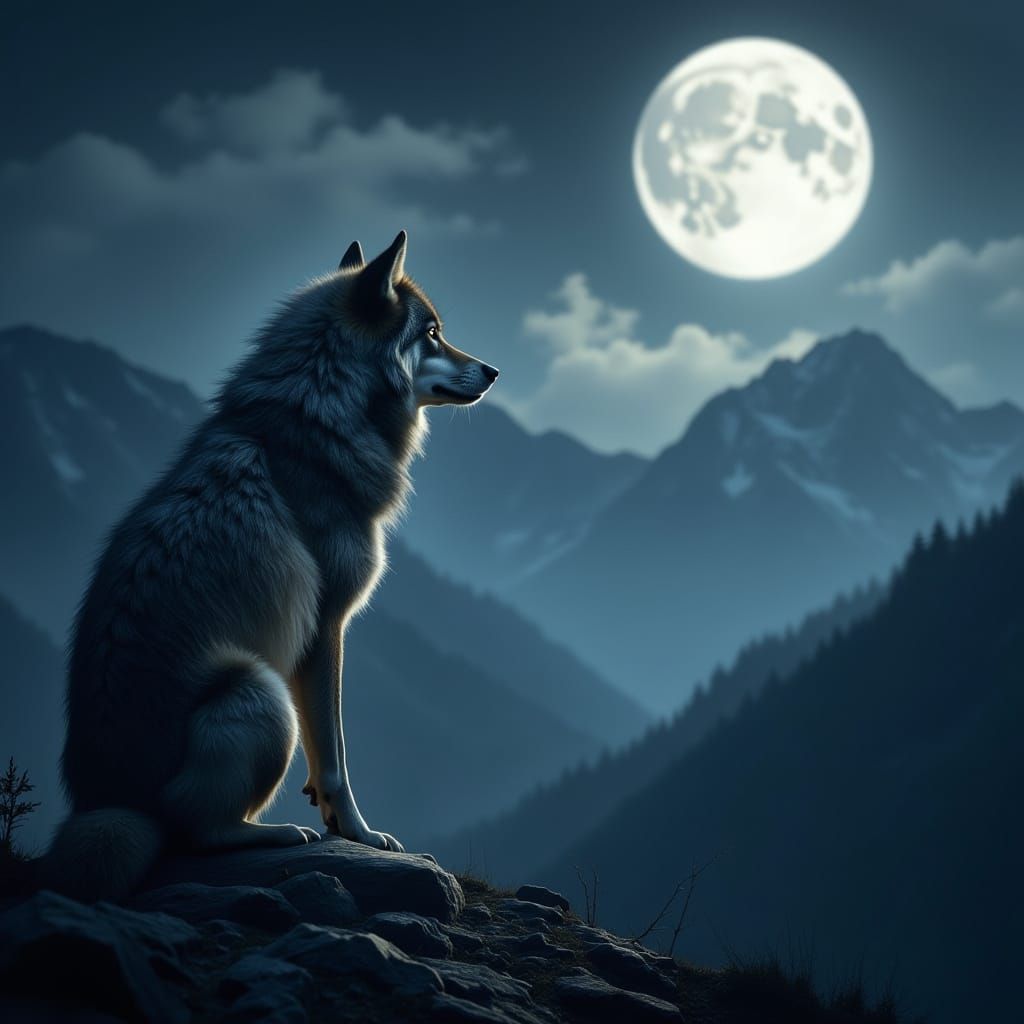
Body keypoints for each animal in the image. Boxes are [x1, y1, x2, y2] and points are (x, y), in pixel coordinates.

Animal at [46, 231, 499, 900]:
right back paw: (279, 832)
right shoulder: (326, 626)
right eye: (434, 333)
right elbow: (336, 755)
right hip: (261, 691)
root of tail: (111, 803)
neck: (321, 414)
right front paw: (361, 834)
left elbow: (323, 753)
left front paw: (336, 820)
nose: (494, 371)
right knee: (195, 832)